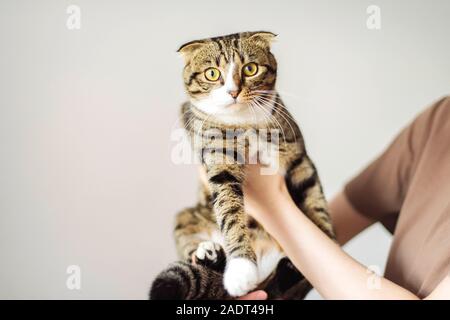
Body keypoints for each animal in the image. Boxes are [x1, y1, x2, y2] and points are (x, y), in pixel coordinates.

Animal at [150, 31, 334, 300]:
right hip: (184, 216)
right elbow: (230, 210)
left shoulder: (299, 158)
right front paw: (240, 270)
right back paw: (210, 256)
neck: (246, 123)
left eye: (250, 68)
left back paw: (289, 268)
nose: (233, 92)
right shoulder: (219, 162)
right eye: (212, 73)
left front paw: (326, 241)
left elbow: (315, 200)